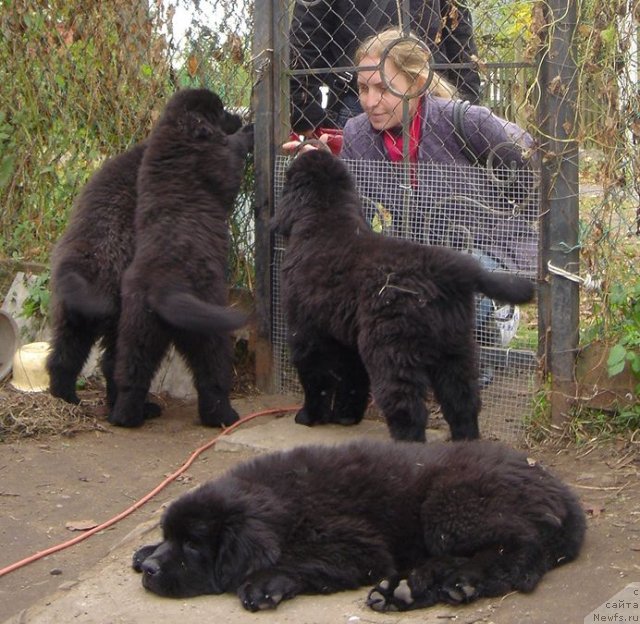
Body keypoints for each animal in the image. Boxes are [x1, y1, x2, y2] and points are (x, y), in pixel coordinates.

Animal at [47, 89, 242, 410]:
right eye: (221, 113)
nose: (239, 119)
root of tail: (83, 261)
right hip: (119, 317)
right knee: (113, 363)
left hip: (74, 317)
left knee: (64, 357)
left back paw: (67, 397)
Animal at [134, 442, 584, 612]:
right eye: (170, 536)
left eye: (194, 544)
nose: (152, 572)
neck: (279, 500)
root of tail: (561, 489)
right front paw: (144, 553)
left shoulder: (358, 545)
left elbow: (302, 561)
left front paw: (263, 584)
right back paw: (406, 589)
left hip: (451, 504)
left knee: (521, 551)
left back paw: (460, 581)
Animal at [274, 150, 536, 444]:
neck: (327, 219)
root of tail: (444, 268)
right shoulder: (346, 338)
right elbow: (353, 379)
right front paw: (347, 416)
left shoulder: (305, 331)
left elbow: (315, 379)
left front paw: (308, 416)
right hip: (455, 345)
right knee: (462, 400)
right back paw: (465, 442)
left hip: (392, 350)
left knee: (407, 407)